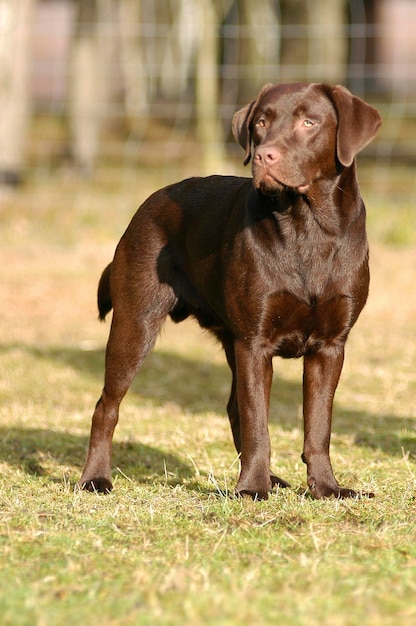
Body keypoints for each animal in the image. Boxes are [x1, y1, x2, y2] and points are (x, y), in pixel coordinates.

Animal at [79, 83, 382, 500]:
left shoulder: (330, 346)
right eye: (261, 123)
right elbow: (258, 423)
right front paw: (252, 489)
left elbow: (318, 426)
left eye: (309, 122)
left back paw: (272, 477)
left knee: (234, 407)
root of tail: (146, 203)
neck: (308, 226)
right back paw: (95, 478)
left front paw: (325, 487)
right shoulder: (254, 342)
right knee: (106, 405)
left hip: (226, 340)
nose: (264, 155)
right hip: (136, 324)